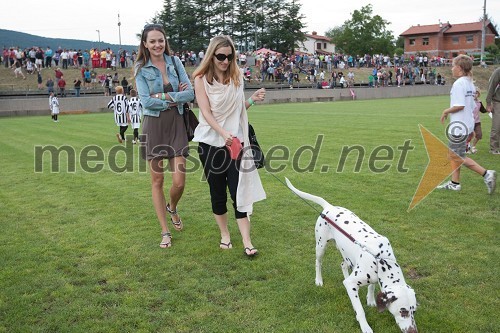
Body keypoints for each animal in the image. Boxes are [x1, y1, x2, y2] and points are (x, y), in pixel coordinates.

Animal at [286, 178, 418, 332]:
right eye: (403, 311)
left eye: (414, 311)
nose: (413, 331)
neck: (380, 259)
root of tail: (330, 207)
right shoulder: (352, 283)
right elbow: (359, 310)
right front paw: (365, 326)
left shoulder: (371, 277)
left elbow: (371, 286)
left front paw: (370, 300)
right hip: (321, 246)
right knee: (318, 263)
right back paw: (318, 280)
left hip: (347, 256)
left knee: (343, 265)